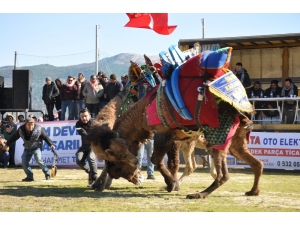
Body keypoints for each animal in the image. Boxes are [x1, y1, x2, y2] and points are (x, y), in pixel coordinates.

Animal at [89, 46, 262, 199]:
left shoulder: (164, 132)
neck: (143, 109)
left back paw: (199, 194)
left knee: (222, 174)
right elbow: (167, 161)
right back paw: (253, 191)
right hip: (235, 142)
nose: (135, 178)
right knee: (256, 164)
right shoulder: (173, 136)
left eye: (118, 162)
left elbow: (159, 160)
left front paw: (171, 184)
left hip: (219, 137)